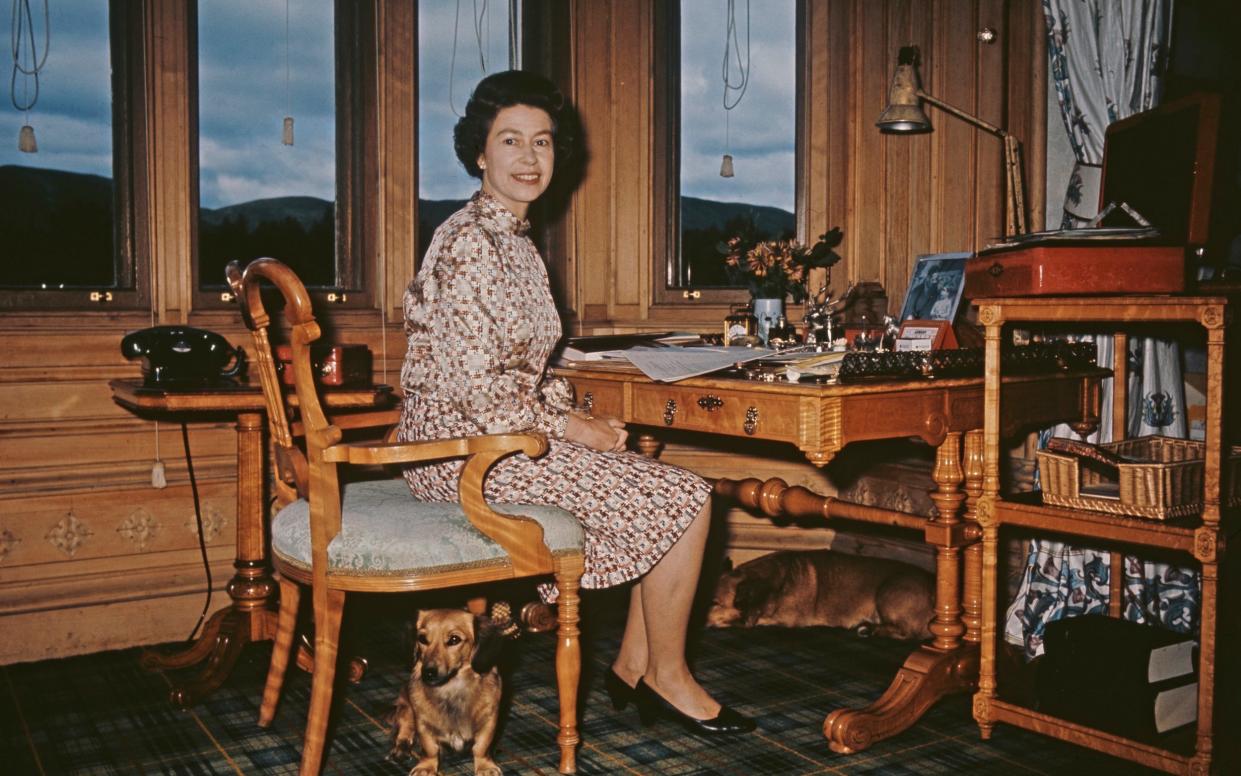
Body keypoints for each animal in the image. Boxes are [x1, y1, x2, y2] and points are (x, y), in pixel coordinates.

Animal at [387, 608, 503, 769]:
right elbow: (429, 749)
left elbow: (481, 747)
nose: (428, 673)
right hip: (406, 707)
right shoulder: (423, 724)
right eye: (422, 639)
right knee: (405, 728)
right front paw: (426, 767)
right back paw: (401, 749)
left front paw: (485, 766)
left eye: (454, 640)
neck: (451, 689)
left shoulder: (489, 721)